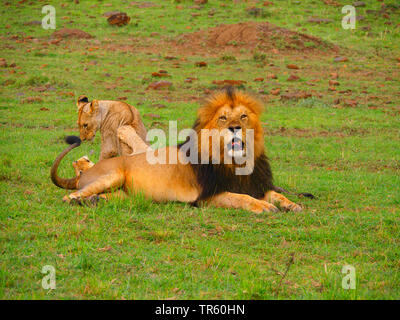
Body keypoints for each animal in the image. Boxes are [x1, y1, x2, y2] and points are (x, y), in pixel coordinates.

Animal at [51, 88, 304, 212]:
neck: (236, 163)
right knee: (68, 197)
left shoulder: (256, 185)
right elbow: (240, 198)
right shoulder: (208, 197)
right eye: (222, 118)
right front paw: (265, 207)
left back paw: (96, 201)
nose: (236, 128)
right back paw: (82, 202)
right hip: (111, 175)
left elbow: (276, 194)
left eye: (244, 116)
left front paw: (293, 205)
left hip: (124, 193)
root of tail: (80, 176)